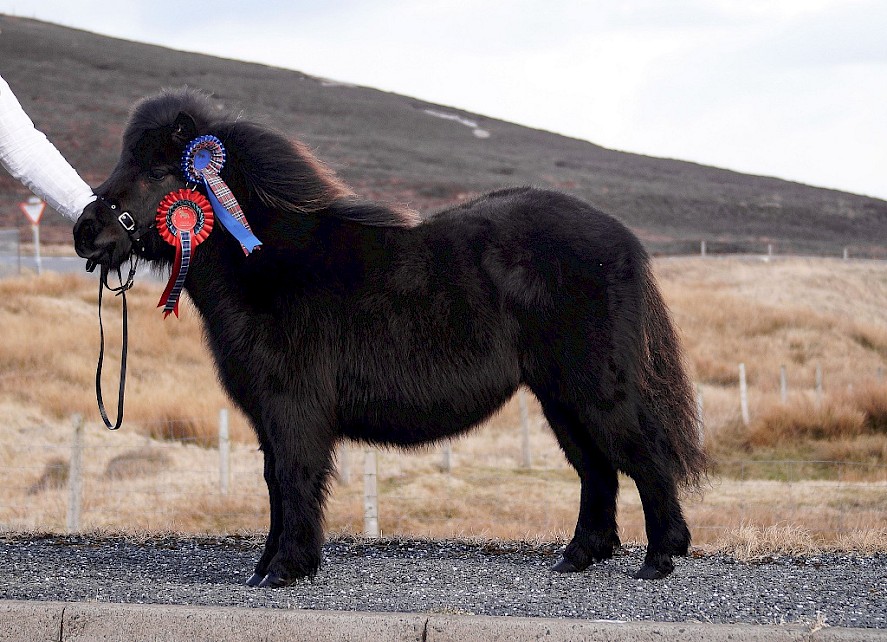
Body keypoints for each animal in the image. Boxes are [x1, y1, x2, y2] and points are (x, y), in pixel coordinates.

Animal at [74, 89, 708, 584]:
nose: (86, 232)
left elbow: (294, 477)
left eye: (158, 171)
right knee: (596, 470)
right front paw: (265, 568)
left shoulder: (294, 409)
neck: (271, 263)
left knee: (645, 456)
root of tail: (623, 241)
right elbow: (275, 482)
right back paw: (578, 557)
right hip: (560, 398)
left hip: (597, 389)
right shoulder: (269, 416)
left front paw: (286, 570)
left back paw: (659, 558)